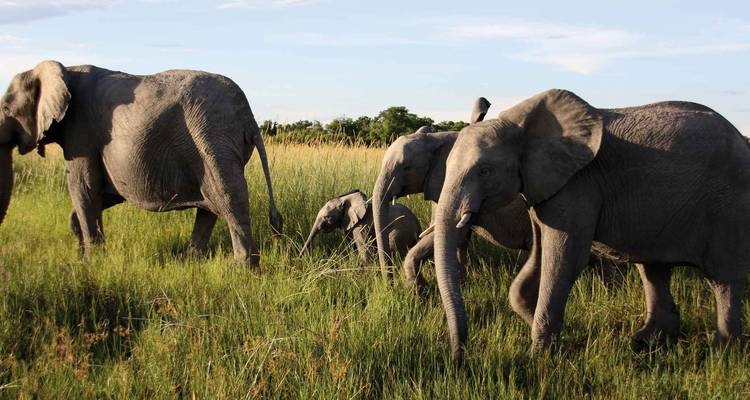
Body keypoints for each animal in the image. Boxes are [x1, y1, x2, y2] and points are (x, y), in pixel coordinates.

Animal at [0, 60, 283, 265]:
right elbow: (103, 194)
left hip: (213, 135)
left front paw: (91, 263)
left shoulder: (80, 133)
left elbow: (83, 189)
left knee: (229, 197)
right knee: (211, 204)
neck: (64, 69)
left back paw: (242, 268)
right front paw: (81, 256)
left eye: (5, 109)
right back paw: (190, 260)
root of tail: (248, 116)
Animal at [433, 88, 750, 363]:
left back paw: (722, 352)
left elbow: (565, 260)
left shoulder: (579, 185)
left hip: (728, 204)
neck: (520, 125)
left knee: (722, 277)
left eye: (484, 171)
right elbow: (536, 261)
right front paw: (543, 333)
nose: (460, 358)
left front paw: (538, 358)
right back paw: (646, 343)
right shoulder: (543, 188)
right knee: (653, 270)